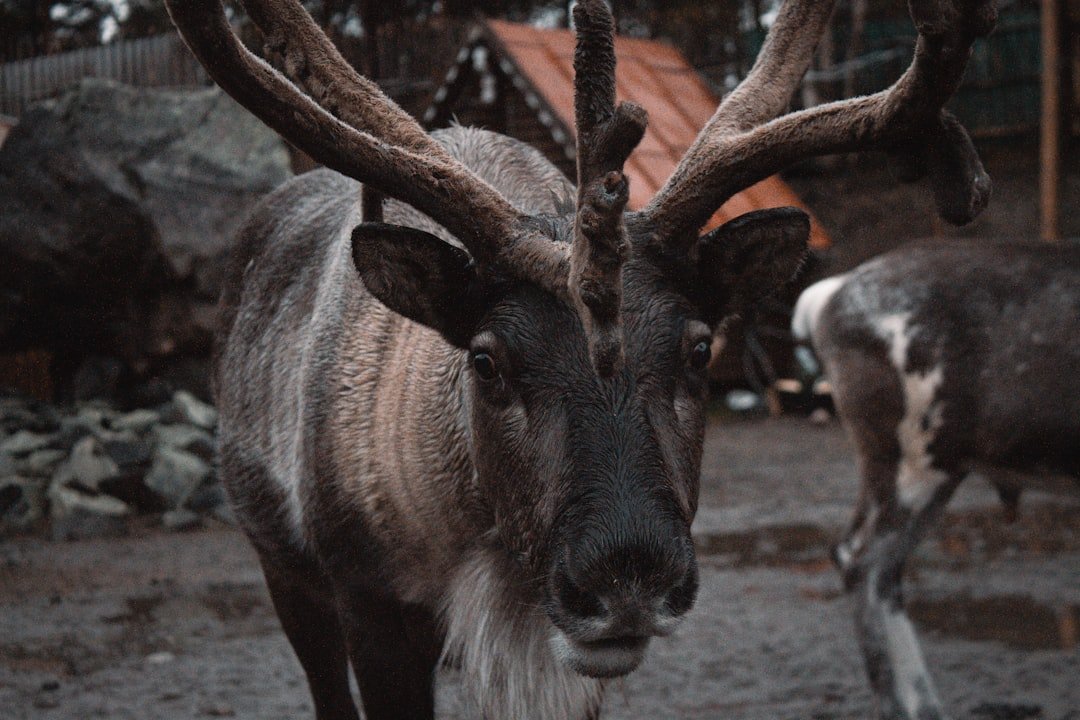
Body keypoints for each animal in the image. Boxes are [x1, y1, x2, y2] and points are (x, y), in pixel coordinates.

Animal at [164, 0, 995, 717]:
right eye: (485, 361)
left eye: (700, 347)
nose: (628, 576)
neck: (494, 570)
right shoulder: (369, 603)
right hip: (281, 566)